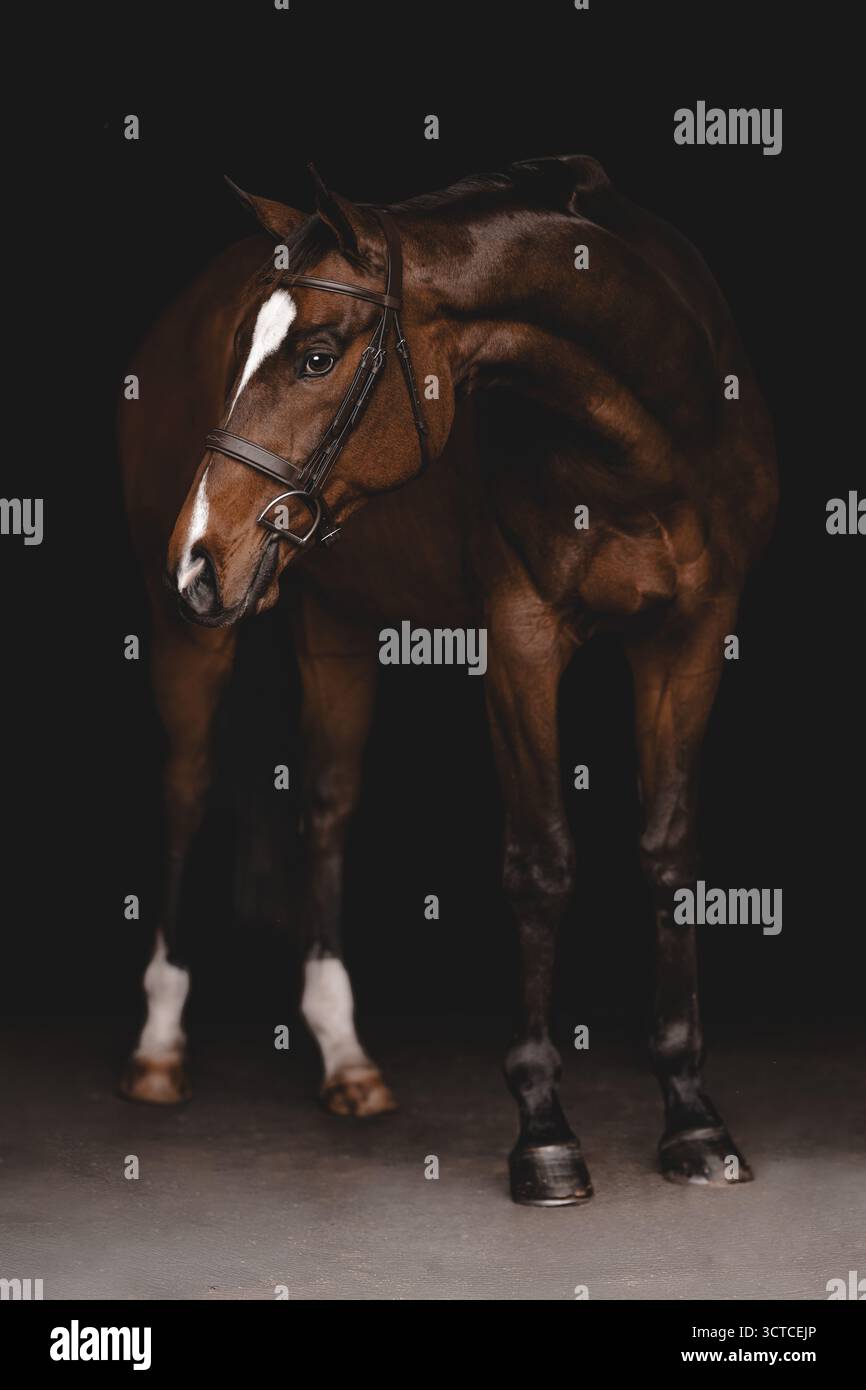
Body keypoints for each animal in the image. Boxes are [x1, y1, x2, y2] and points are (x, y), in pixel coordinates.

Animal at [118, 155, 777, 1205]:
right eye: (240, 355)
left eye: (317, 356)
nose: (200, 555)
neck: (653, 437)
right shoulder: (522, 640)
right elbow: (542, 866)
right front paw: (544, 1132)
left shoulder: (692, 639)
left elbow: (670, 855)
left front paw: (693, 1117)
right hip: (188, 636)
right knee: (184, 793)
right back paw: (159, 1044)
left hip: (333, 622)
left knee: (327, 807)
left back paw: (346, 1056)